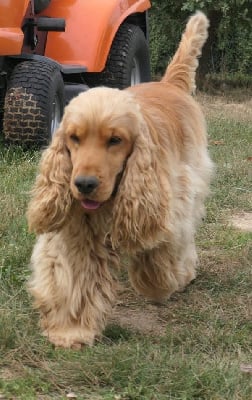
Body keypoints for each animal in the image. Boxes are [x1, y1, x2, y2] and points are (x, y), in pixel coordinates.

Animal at [27, 10, 213, 348]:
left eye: (115, 140)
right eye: (74, 138)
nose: (84, 184)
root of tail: (170, 84)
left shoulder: (164, 203)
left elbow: (159, 250)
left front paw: (161, 283)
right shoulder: (77, 225)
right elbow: (75, 275)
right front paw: (71, 330)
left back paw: (183, 273)